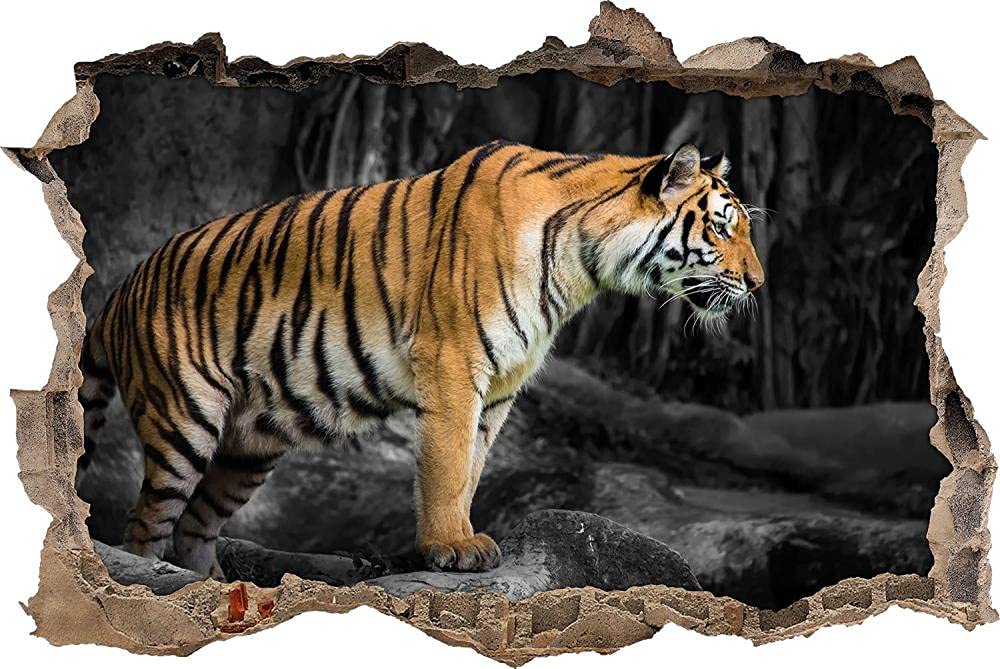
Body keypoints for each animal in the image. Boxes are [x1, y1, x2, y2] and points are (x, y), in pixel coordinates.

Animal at [77, 140, 764, 577]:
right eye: (722, 227)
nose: (758, 283)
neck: (582, 267)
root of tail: (117, 292)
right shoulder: (453, 361)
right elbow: (445, 463)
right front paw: (450, 548)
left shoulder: (502, 386)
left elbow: (472, 468)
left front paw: (461, 537)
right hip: (183, 422)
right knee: (145, 526)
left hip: (249, 448)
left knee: (193, 529)